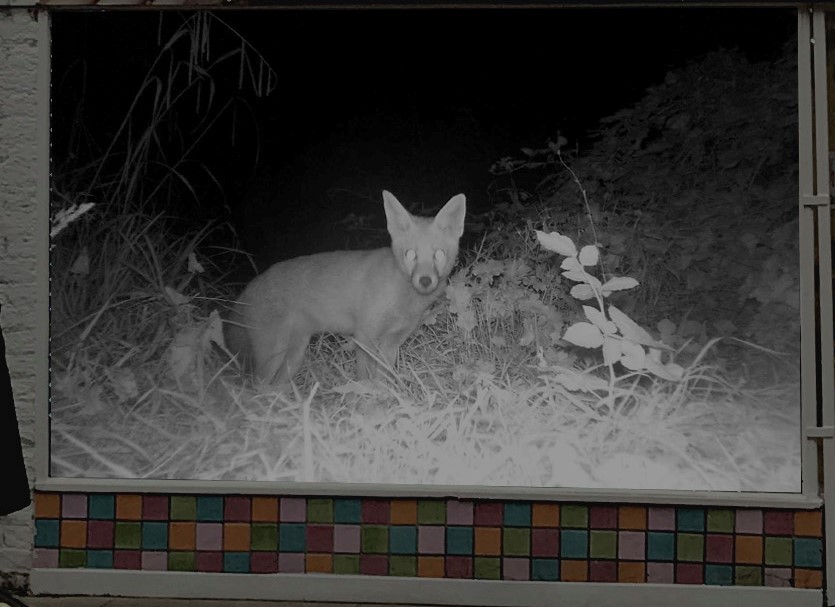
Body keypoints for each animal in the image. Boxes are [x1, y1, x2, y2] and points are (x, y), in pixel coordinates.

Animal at [225, 190, 467, 387]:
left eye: (438, 254)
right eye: (410, 254)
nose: (425, 280)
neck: (403, 301)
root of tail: (250, 286)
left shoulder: (392, 342)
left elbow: (383, 379)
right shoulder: (365, 336)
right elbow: (364, 377)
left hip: (294, 356)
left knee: (273, 387)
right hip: (273, 353)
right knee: (257, 387)